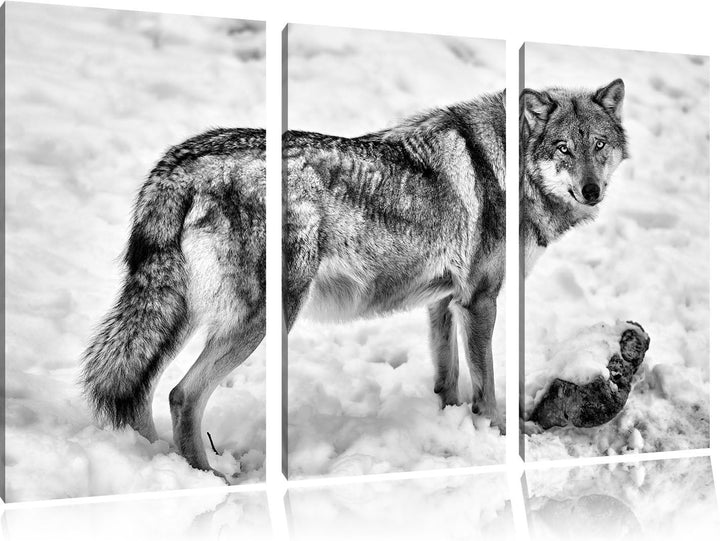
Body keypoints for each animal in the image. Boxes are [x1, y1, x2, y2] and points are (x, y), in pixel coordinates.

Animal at [82, 91, 507, 476]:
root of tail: (180, 166)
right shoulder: (480, 301)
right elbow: (487, 388)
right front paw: (497, 439)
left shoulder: (444, 301)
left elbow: (448, 378)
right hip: (262, 320)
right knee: (182, 395)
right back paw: (210, 478)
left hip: (178, 317)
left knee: (143, 393)